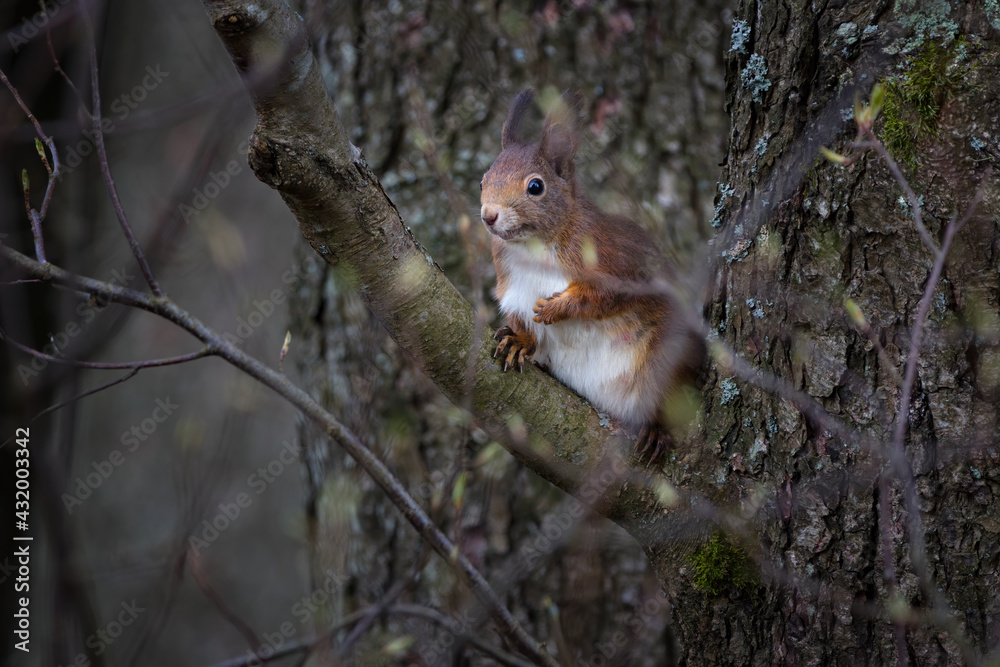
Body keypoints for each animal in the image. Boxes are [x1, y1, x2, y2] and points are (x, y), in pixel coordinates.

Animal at [480, 89, 703, 465]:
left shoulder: (618, 264)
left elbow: (604, 298)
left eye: (535, 186)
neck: (534, 246)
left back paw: (655, 431)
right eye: (483, 179)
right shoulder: (511, 287)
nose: (488, 216)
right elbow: (520, 316)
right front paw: (518, 341)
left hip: (667, 362)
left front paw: (557, 309)